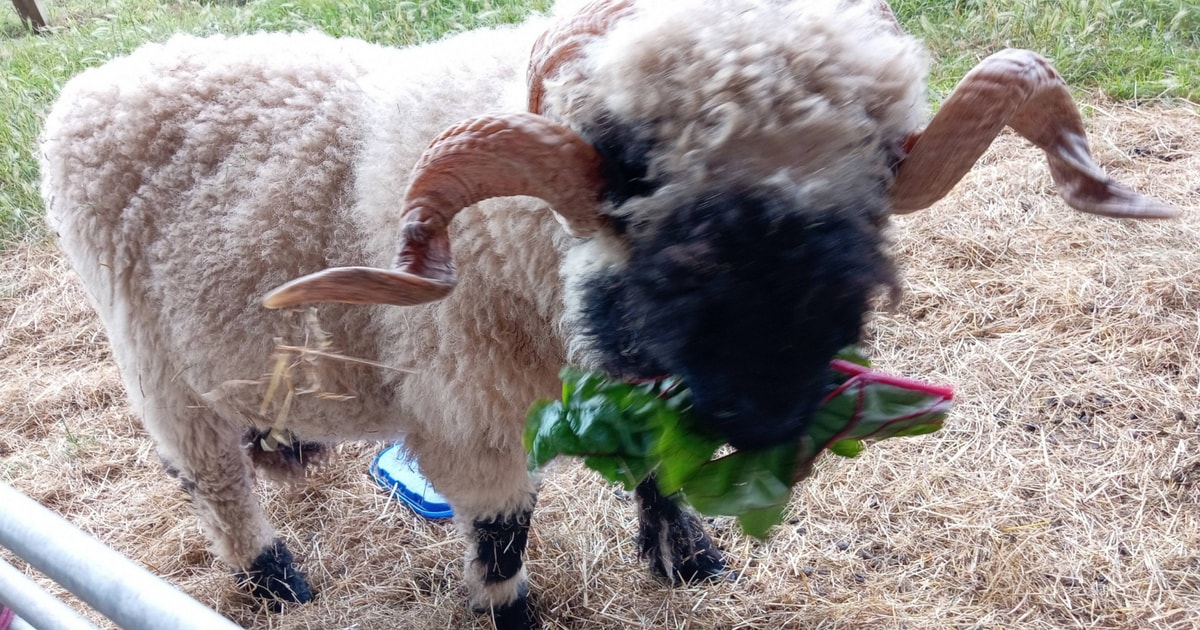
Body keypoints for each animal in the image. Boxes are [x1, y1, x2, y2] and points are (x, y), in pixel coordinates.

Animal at [39, 0, 1179, 627]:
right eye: (633, 176)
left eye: (871, 188)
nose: (769, 409)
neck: (529, 249)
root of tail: (101, 78)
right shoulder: (472, 418)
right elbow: (503, 544)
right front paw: (514, 616)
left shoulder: (637, 392)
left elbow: (657, 468)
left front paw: (689, 556)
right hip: (147, 352)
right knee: (208, 474)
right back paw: (275, 575)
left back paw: (288, 451)